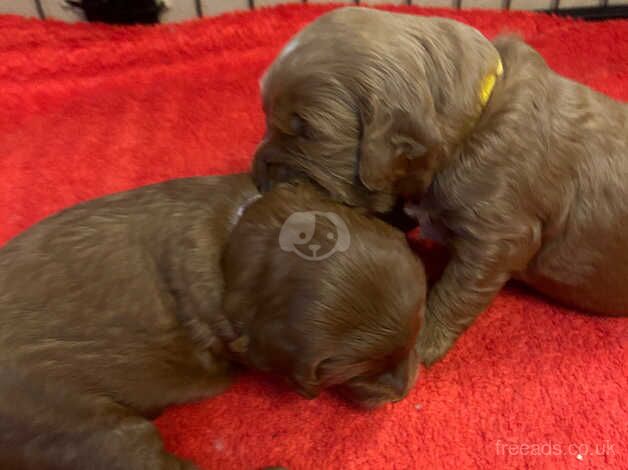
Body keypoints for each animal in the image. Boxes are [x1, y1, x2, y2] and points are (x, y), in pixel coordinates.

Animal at [251, 7, 628, 368]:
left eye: (307, 132)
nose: (258, 175)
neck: (475, 120)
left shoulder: (501, 236)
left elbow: (456, 292)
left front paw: (420, 343)